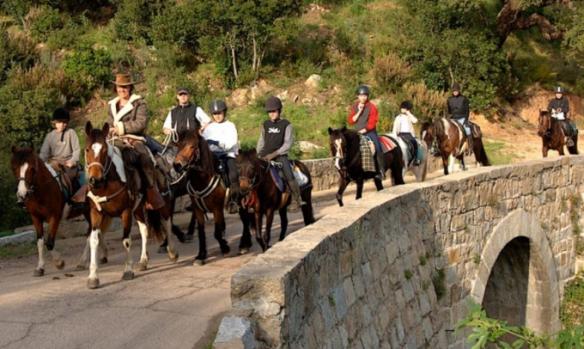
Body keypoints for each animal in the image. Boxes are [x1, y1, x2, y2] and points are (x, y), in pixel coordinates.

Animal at [83, 122, 177, 288]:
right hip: (139, 208)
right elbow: (94, 240)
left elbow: (126, 241)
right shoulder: (96, 213)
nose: (95, 180)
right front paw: (93, 277)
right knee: (144, 230)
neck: (108, 184)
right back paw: (143, 260)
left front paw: (127, 270)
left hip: (163, 201)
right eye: (87, 149)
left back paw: (171, 251)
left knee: (167, 223)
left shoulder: (125, 212)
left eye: (104, 150)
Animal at [172, 130, 252, 264]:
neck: (203, 179)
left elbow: (217, 233)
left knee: (245, 220)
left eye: (192, 146)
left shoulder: (217, 209)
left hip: (242, 202)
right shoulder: (198, 210)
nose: (177, 165)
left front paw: (225, 248)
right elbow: (202, 232)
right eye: (178, 145)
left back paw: (244, 245)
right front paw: (201, 256)